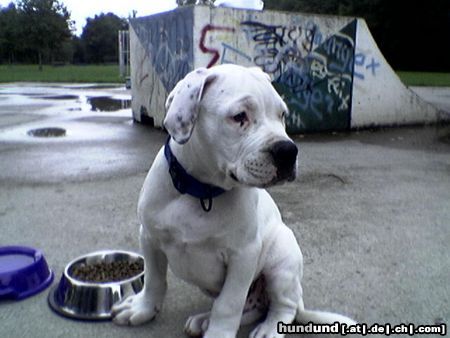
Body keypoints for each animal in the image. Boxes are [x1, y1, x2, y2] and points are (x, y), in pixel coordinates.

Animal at [111, 64, 356, 336]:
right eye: (239, 116)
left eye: (282, 115)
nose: (288, 151)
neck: (202, 192)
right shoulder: (149, 237)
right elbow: (154, 279)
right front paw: (143, 309)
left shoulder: (244, 256)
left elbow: (228, 304)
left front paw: (218, 333)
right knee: (252, 309)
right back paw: (204, 319)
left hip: (282, 262)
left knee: (284, 307)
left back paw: (269, 328)